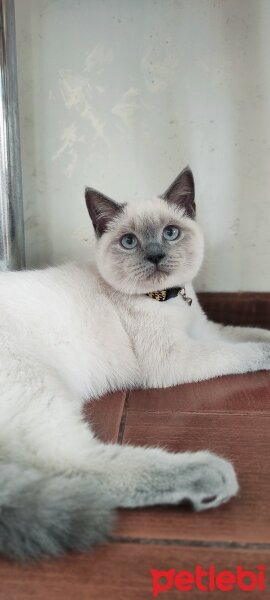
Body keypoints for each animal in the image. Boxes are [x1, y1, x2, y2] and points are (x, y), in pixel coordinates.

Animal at [0, 166, 270, 560]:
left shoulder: (207, 331)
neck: (170, 300)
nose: (156, 256)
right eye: (129, 242)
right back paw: (207, 474)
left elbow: (253, 333)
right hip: (38, 390)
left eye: (170, 233)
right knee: (71, 462)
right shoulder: (175, 358)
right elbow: (245, 352)